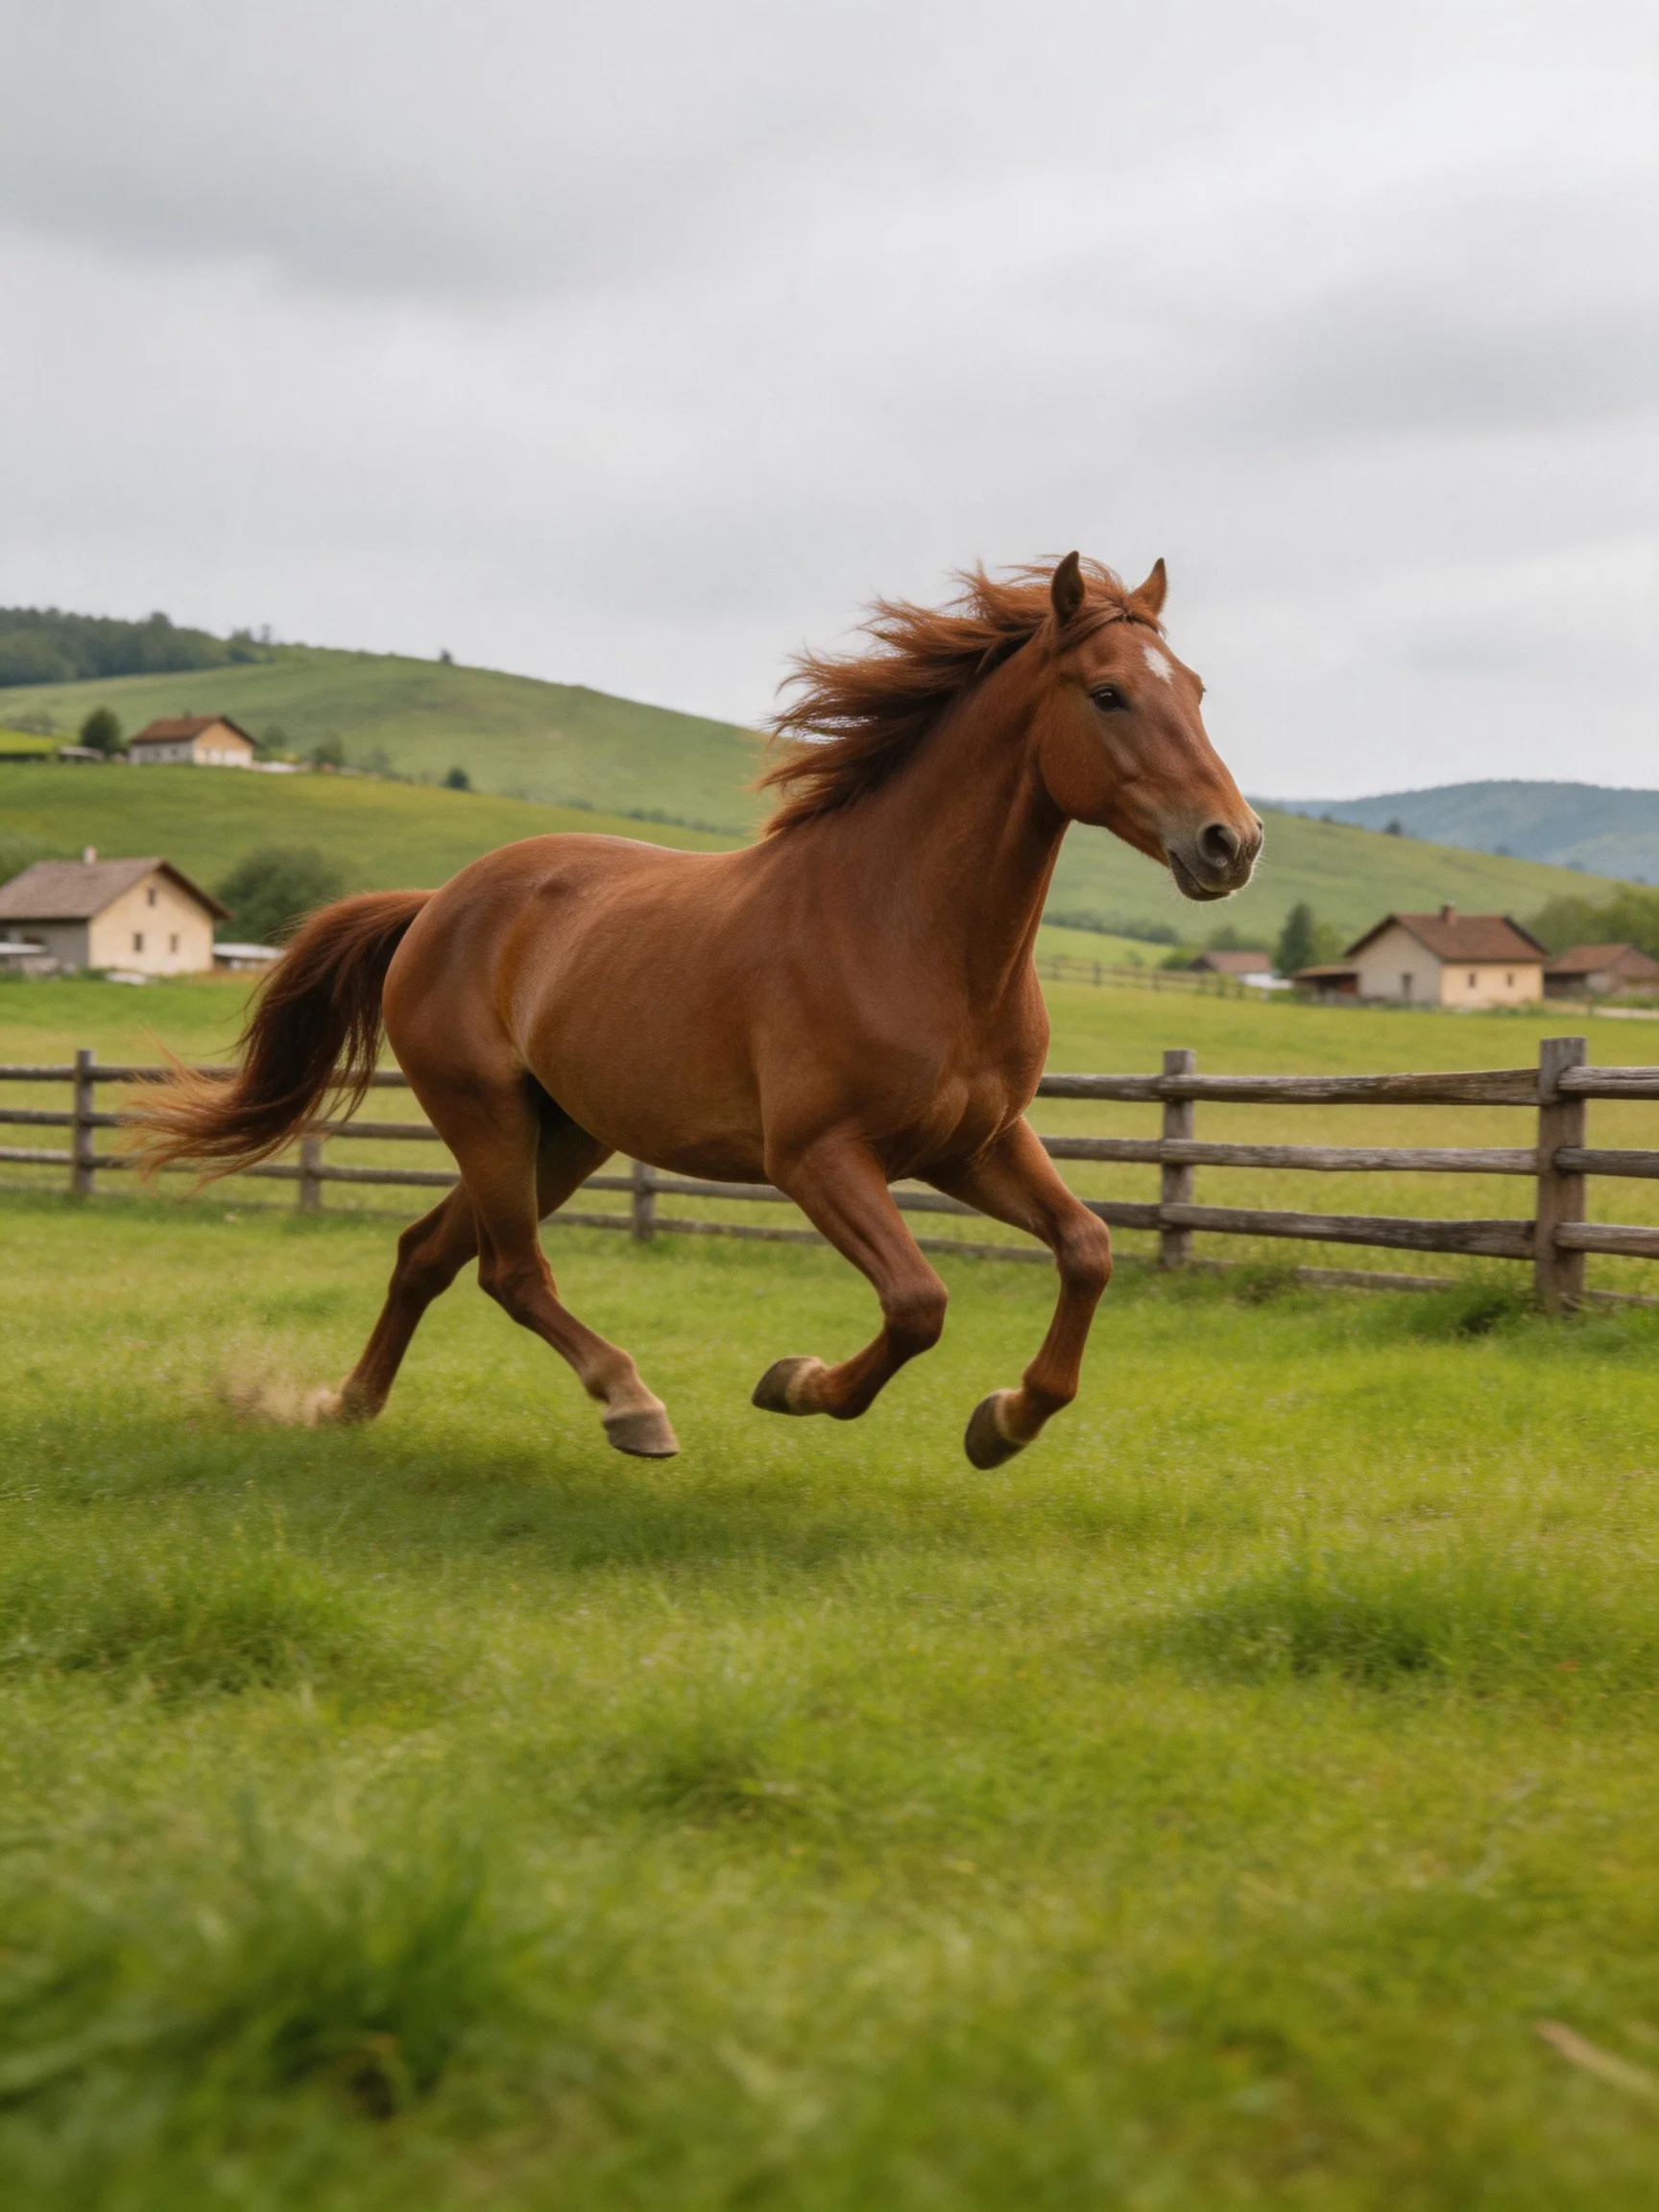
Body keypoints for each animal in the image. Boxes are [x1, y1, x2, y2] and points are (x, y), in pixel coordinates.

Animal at [136, 554, 1260, 1467]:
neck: (907, 933)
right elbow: (918, 1304)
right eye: (1108, 693)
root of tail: (436, 905)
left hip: (562, 1134)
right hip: (485, 1114)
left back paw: (347, 1408)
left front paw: (1005, 1421)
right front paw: (798, 1384)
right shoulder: (814, 1156)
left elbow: (1088, 1249)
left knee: (428, 1255)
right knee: (511, 1271)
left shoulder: (974, 1144)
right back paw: (633, 1409)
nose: (1231, 844)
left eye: (1199, 689)